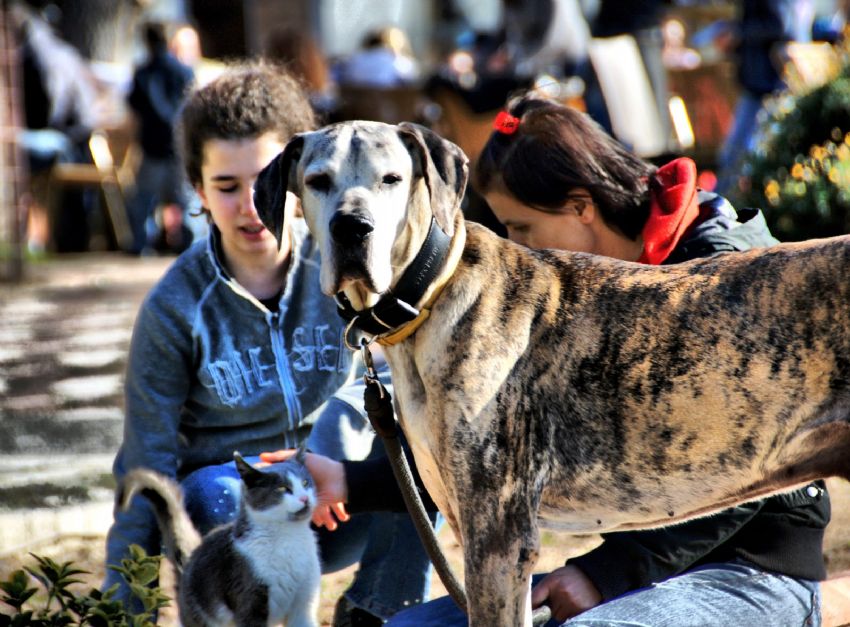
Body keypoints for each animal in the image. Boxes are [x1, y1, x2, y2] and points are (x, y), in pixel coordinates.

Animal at [122, 448, 324, 627]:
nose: (305, 498)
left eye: (305, 483)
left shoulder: (304, 604)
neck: (289, 536)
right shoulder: (249, 602)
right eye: (283, 488)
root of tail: (191, 557)